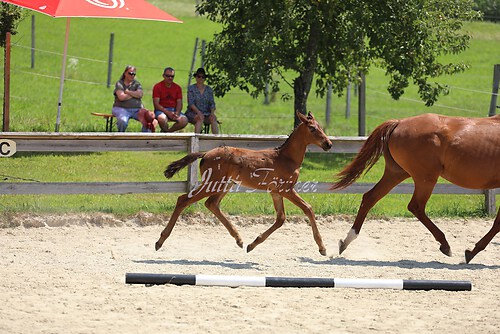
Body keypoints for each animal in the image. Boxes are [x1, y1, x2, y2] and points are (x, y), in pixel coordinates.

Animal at [154, 113, 330, 256]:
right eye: (312, 128)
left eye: (321, 127)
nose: (328, 144)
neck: (286, 158)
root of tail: (205, 154)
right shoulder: (286, 189)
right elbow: (308, 208)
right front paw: (322, 247)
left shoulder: (275, 192)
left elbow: (280, 219)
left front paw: (252, 244)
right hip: (212, 183)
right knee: (183, 200)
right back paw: (160, 241)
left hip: (224, 184)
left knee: (211, 203)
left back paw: (239, 239)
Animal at [332, 113, 500, 264]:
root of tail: (399, 122)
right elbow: (497, 223)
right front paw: (471, 252)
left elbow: (497, 222)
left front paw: (472, 252)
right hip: (425, 178)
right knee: (416, 206)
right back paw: (445, 245)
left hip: (396, 173)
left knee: (370, 197)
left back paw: (345, 241)